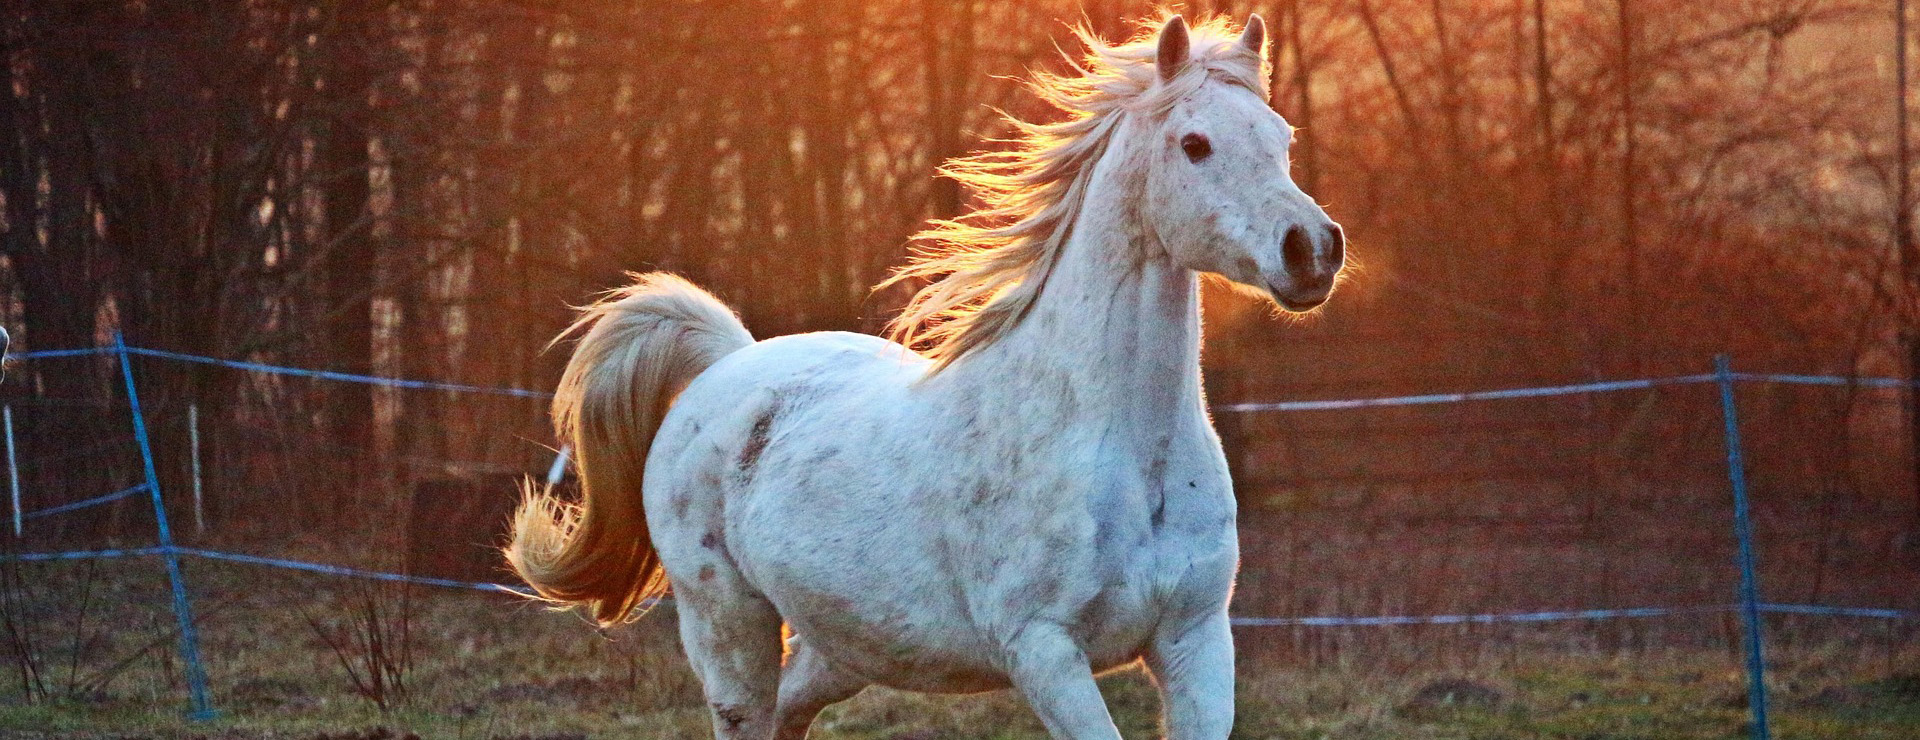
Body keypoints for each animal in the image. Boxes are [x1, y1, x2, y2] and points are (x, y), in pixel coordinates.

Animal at [506, 13, 1345, 739]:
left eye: (1282, 137)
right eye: (1193, 143)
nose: (1312, 249)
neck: (1122, 451)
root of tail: (729, 362)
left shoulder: (1196, 639)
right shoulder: (1042, 650)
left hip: (845, 644)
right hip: (728, 625)